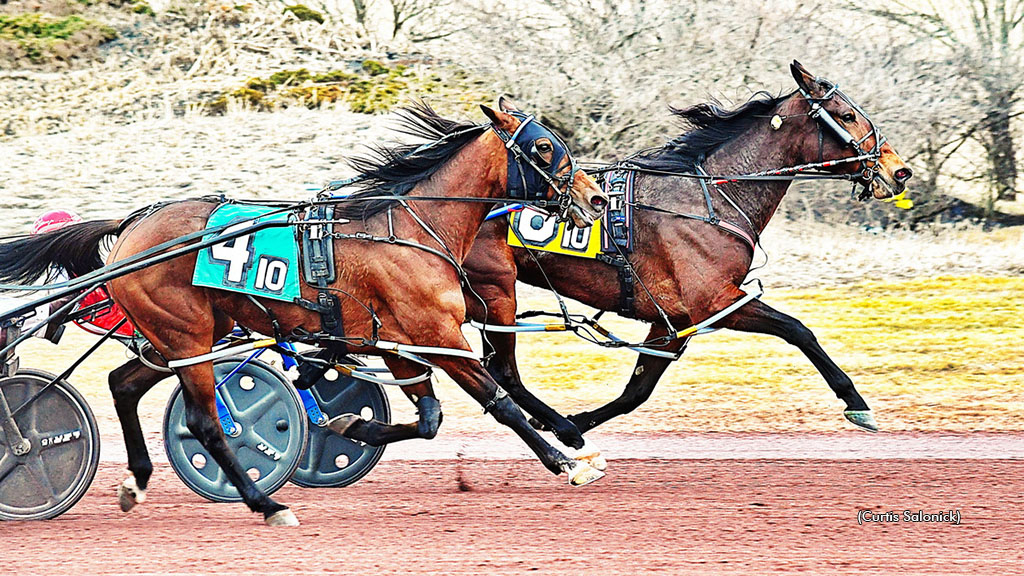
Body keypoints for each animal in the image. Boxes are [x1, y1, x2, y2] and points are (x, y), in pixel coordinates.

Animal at [0, 99, 606, 524]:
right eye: (544, 148)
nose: (596, 199)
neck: (409, 230)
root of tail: (132, 225)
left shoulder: (400, 343)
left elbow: (429, 419)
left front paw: (351, 425)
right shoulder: (439, 335)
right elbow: (501, 404)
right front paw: (568, 462)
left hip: (182, 337)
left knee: (123, 384)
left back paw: (138, 481)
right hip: (187, 338)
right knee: (204, 422)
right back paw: (266, 505)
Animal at [460, 62, 917, 448]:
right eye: (845, 115)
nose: (898, 171)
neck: (709, 195)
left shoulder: (675, 319)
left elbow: (637, 391)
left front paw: (578, 420)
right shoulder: (715, 301)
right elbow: (799, 330)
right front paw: (856, 402)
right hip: (496, 291)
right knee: (502, 370)